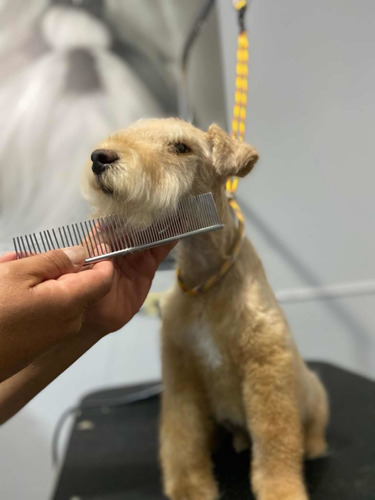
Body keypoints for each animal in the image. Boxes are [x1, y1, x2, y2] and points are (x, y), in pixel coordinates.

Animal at [83, 118, 328, 500]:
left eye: (181, 147)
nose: (100, 157)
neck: (206, 280)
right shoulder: (181, 370)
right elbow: (182, 434)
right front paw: (189, 486)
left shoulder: (266, 367)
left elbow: (276, 438)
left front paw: (281, 490)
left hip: (314, 393)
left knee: (311, 427)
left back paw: (313, 447)